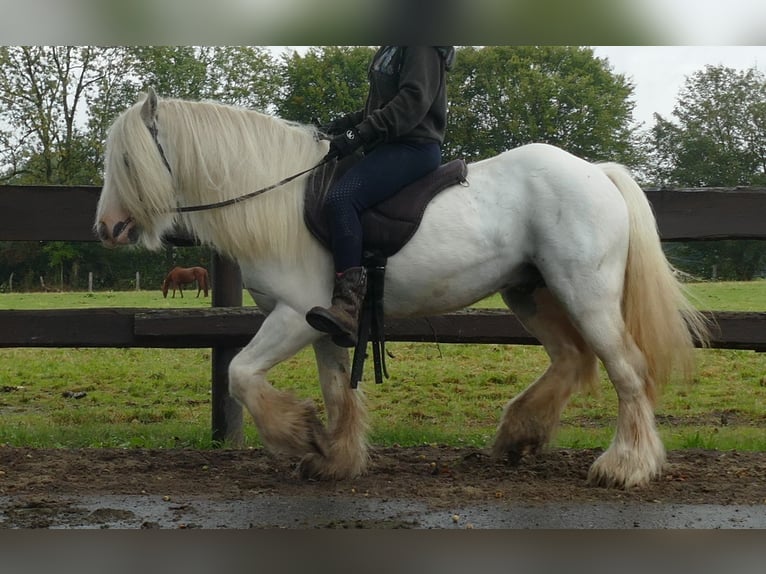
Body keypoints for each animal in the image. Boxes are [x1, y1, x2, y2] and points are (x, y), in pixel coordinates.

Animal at [97, 90, 712, 490]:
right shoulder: (323, 323)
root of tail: (595, 172)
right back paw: (518, 436)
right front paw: (332, 457)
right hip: (530, 293)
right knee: (570, 359)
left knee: (626, 369)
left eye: (126, 158)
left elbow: (241, 374)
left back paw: (625, 467)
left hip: (585, 293)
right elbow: (336, 390)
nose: (107, 228)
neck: (278, 200)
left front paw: (298, 434)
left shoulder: (293, 315)